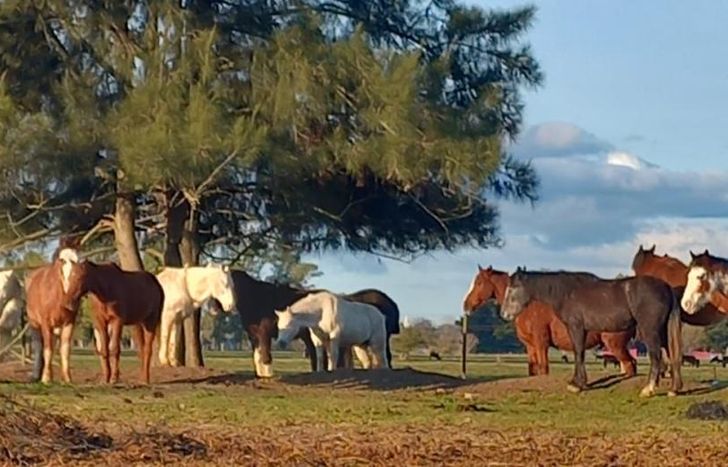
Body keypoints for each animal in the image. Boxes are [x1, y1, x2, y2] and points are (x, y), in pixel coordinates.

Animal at [25, 246, 85, 383]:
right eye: (62, 272)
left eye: (80, 276)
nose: (70, 302)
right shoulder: (45, 322)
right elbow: (47, 349)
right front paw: (46, 378)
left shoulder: (70, 323)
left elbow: (65, 350)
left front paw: (67, 378)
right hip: (34, 322)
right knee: (39, 346)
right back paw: (37, 375)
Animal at [462, 266, 636, 376]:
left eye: (479, 283)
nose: (466, 304)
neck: (527, 305)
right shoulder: (531, 347)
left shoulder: (541, 345)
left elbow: (543, 370)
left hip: (615, 346)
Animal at [501, 270, 686, 397]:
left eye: (512, 289)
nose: (504, 314)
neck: (567, 292)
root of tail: (666, 287)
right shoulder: (582, 330)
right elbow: (581, 353)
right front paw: (582, 383)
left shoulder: (575, 327)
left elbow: (578, 353)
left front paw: (577, 385)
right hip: (663, 332)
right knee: (671, 354)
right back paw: (674, 389)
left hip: (650, 331)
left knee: (656, 356)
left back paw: (648, 389)